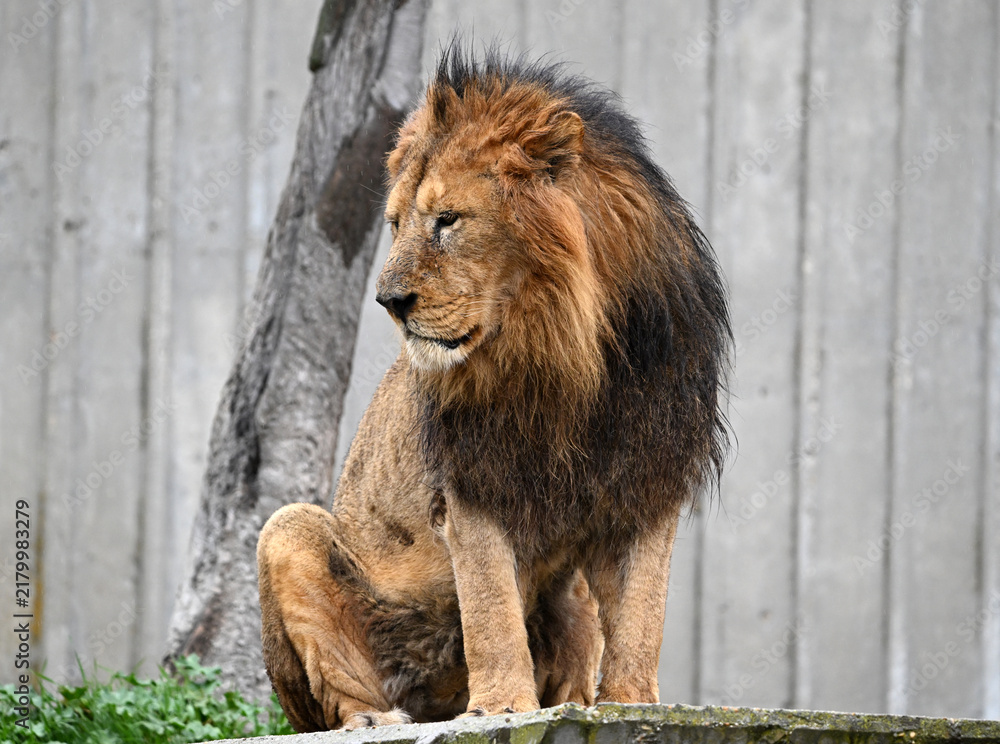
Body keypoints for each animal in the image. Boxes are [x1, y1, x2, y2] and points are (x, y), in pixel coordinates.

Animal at [257, 47, 730, 732]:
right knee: (336, 694)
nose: (389, 301)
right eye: (395, 224)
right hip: (289, 532)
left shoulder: (649, 475)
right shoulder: (471, 478)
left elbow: (643, 610)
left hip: (571, 591)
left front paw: (633, 704)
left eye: (447, 220)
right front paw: (504, 706)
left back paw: (570, 701)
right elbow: (489, 604)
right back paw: (379, 720)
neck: (565, 350)